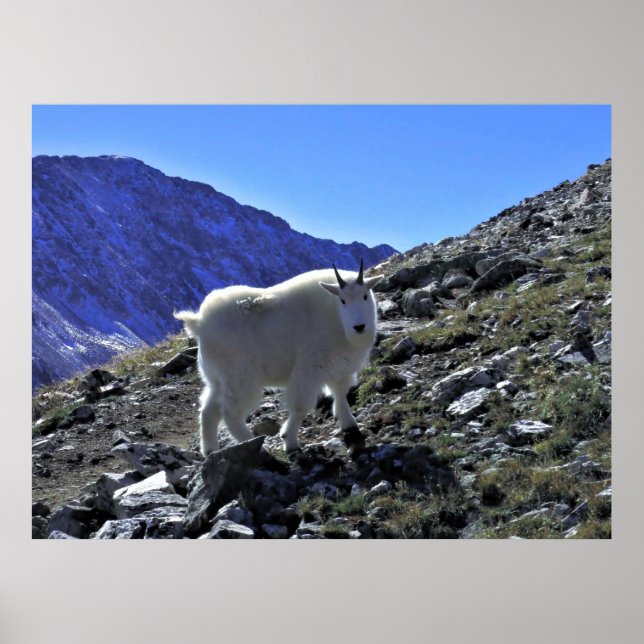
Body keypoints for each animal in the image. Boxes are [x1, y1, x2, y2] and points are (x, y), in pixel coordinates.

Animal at [174, 260, 383, 455]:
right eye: (343, 300)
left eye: (365, 296)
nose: (359, 327)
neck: (337, 320)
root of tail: (199, 323)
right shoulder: (309, 368)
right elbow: (300, 406)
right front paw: (290, 442)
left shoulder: (341, 367)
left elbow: (341, 394)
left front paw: (350, 424)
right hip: (241, 379)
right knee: (230, 412)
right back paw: (254, 445)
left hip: (218, 380)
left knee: (208, 411)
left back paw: (210, 450)